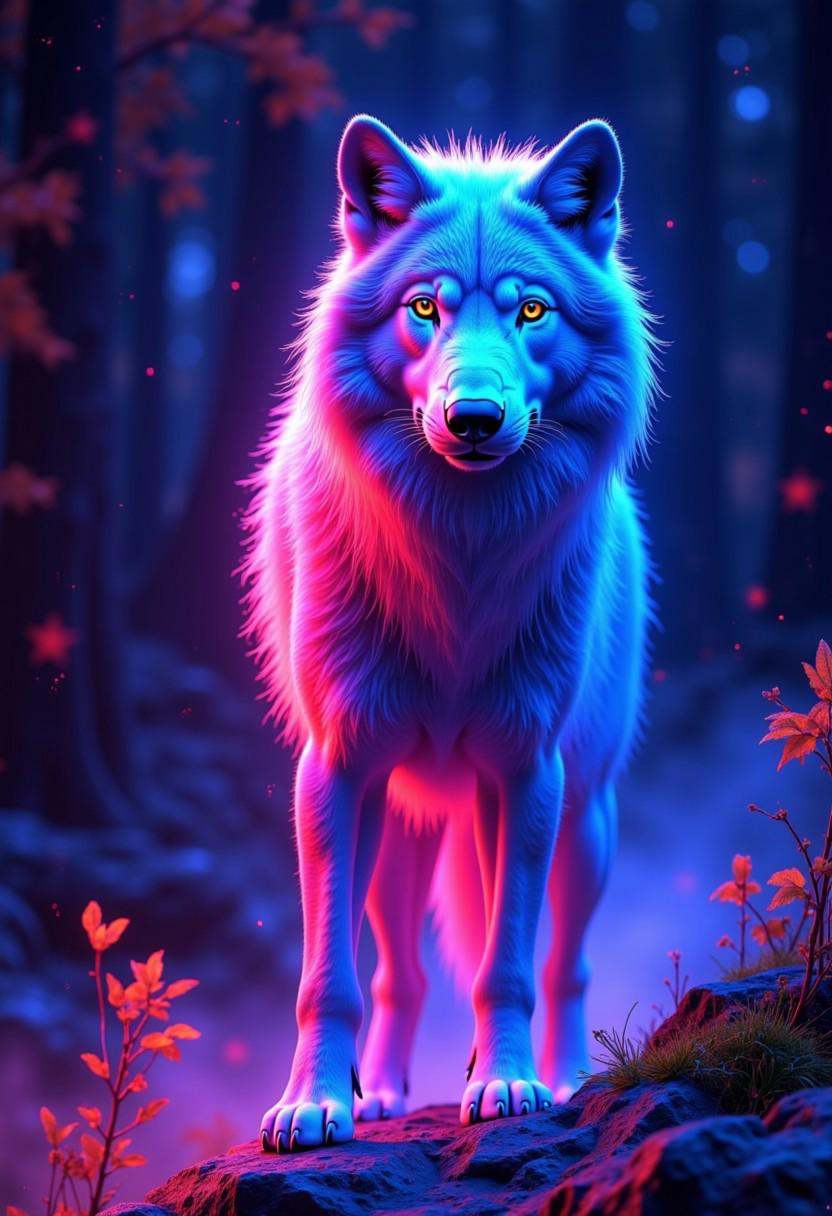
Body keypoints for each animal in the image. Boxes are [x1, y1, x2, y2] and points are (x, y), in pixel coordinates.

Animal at [243, 114, 655, 1152]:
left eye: (533, 312)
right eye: (425, 308)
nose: (474, 417)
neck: (456, 568)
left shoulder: (526, 772)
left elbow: (509, 966)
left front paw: (507, 1087)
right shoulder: (335, 770)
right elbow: (328, 980)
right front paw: (314, 1104)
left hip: (584, 821)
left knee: (564, 963)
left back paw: (567, 1077)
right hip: (397, 830)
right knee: (401, 968)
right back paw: (383, 1095)